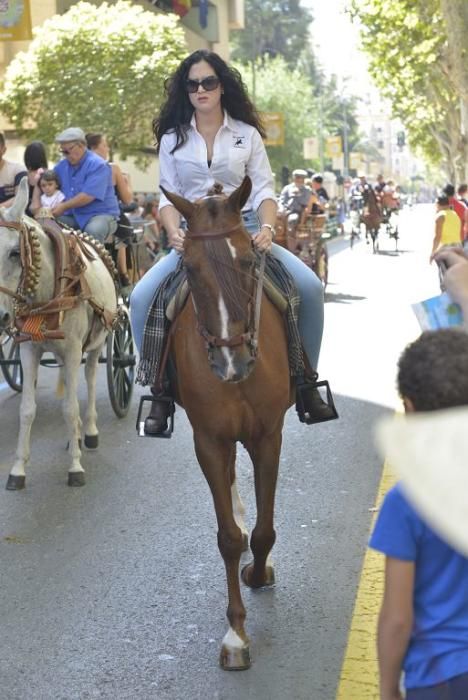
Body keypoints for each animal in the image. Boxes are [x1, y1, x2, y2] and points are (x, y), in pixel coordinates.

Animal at [0, 178, 119, 490]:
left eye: (15, 252)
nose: (0, 316)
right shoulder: (29, 349)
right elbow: (27, 409)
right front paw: (18, 469)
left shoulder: (75, 348)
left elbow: (70, 408)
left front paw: (75, 467)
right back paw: (75, 435)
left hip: (95, 344)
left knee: (90, 380)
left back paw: (88, 431)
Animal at [159, 178, 294, 668]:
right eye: (190, 267)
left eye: (249, 260)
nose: (231, 363)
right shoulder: (210, 441)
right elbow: (230, 538)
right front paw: (236, 633)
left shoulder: (269, 435)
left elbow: (264, 529)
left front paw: (258, 572)